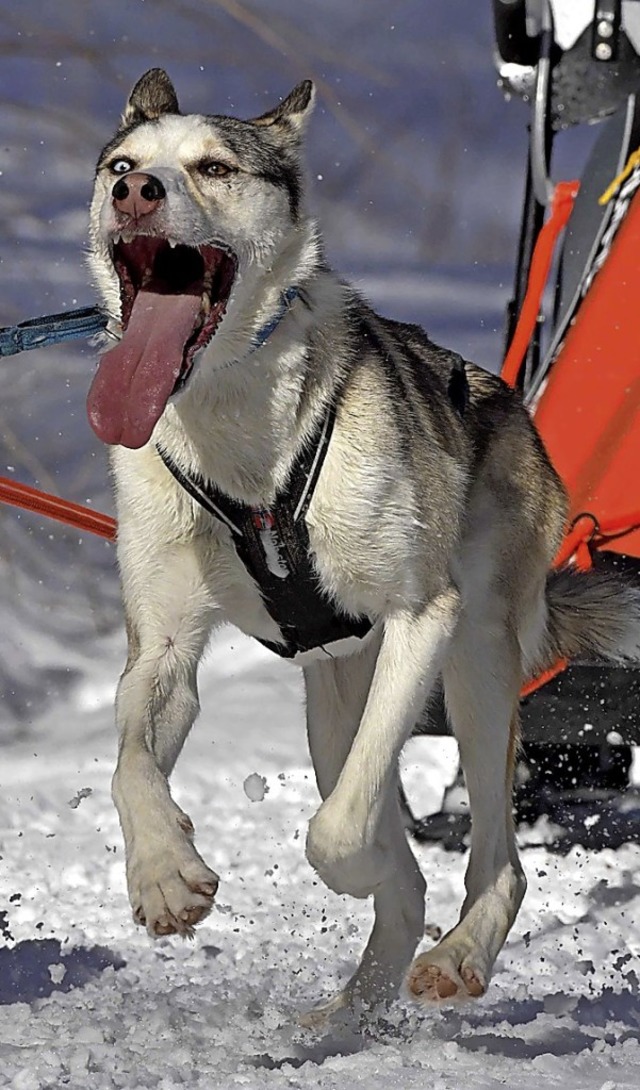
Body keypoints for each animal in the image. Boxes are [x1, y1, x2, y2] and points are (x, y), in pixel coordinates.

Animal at [87, 70, 640, 1020]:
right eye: (122, 165)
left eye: (214, 166)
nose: (137, 194)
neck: (243, 451)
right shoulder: (161, 651)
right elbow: (131, 769)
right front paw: (164, 874)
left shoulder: (423, 618)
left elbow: (339, 834)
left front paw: (365, 864)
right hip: (333, 704)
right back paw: (353, 1013)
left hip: (478, 662)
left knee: (496, 860)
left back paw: (457, 955)